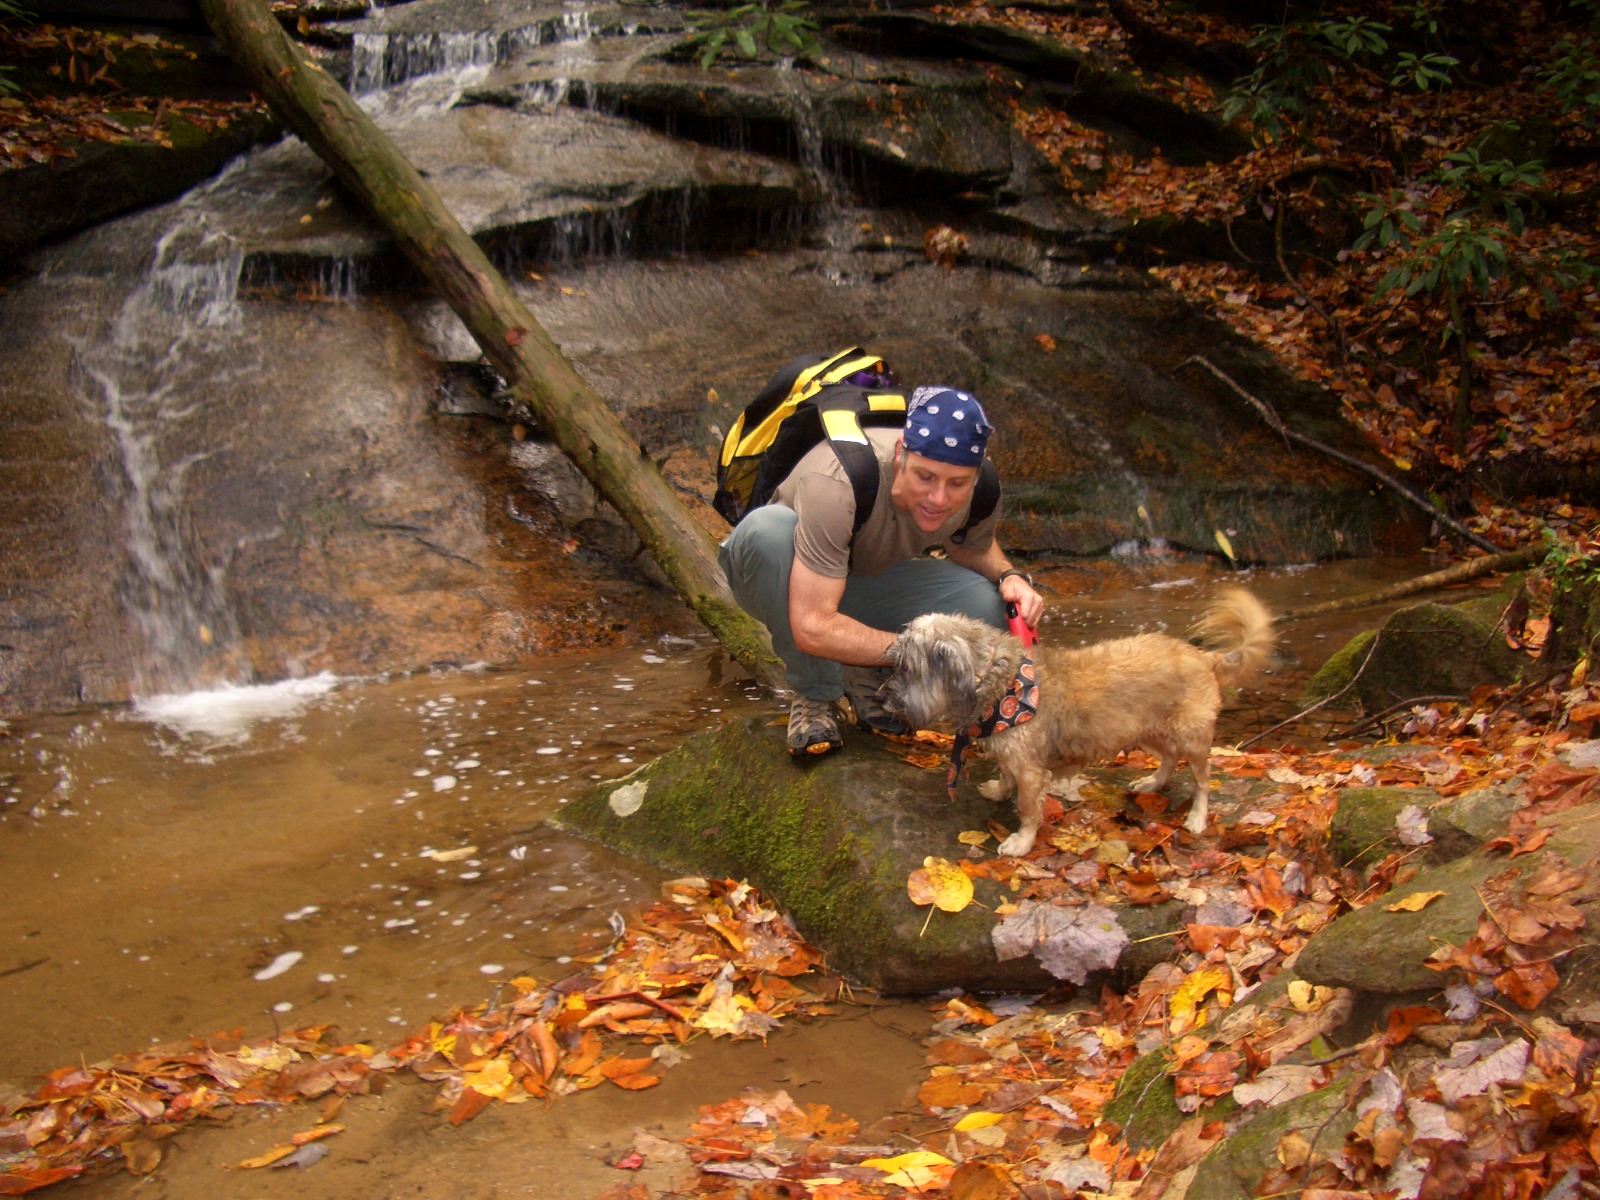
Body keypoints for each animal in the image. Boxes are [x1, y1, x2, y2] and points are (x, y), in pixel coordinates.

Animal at [883, 588, 1267, 857]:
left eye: (907, 668)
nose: (883, 698)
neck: (999, 681)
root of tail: (1203, 656)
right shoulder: (1012, 756)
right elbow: (1005, 775)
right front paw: (999, 789)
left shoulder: (1031, 772)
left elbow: (1027, 809)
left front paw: (1021, 842)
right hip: (1145, 729)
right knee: (1170, 758)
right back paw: (1152, 783)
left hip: (1192, 738)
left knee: (1202, 779)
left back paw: (1198, 817)